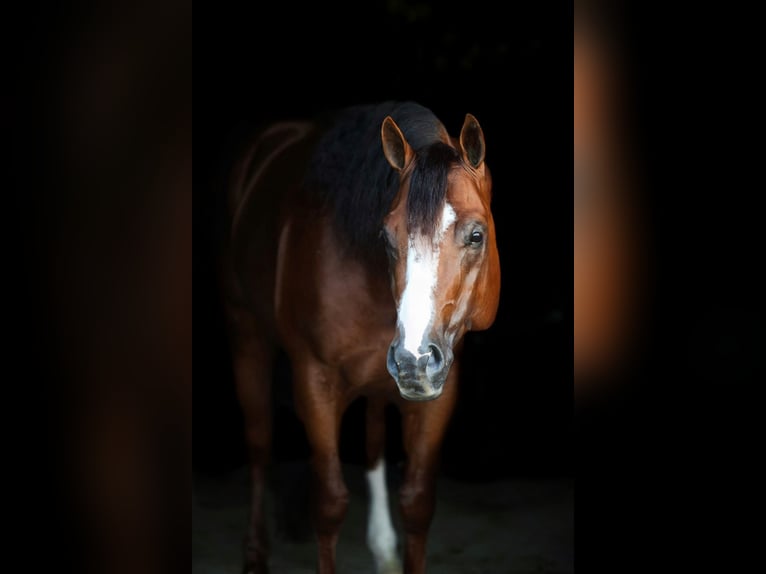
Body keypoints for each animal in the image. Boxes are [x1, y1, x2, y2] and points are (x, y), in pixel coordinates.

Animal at [219, 101, 501, 574]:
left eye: (476, 235)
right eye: (385, 237)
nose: (414, 360)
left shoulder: (437, 395)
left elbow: (417, 504)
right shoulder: (315, 380)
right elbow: (329, 505)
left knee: (372, 446)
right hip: (246, 335)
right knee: (259, 445)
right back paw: (255, 554)